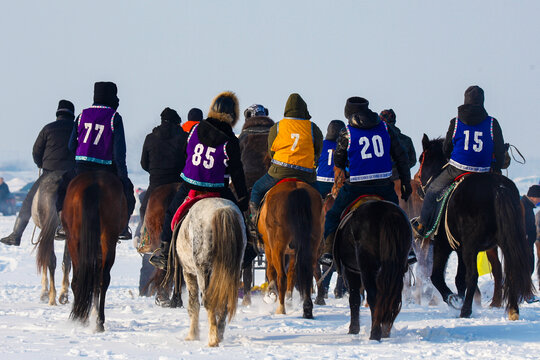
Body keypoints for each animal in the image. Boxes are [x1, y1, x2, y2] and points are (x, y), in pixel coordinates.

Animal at [62, 172, 127, 332]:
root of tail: (94, 184)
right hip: (107, 240)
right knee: (102, 278)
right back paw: (98, 322)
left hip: (74, 241)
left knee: (80, 278)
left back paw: (84, 318)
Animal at [175, 198, 247, 348]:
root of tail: (222, 209)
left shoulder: (188, 272)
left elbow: (193, 304)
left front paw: (192, 335)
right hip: (233, 271)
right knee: (224, 302)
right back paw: (219, 334)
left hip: (202, 270)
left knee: (208, 301)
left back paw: (213, 339)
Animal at [258, 180, 324, 318]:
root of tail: (296, 189)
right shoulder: (294, 253)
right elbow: (292, 275)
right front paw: (288, 300)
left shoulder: (269, 248)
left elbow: (271, 271)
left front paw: (271, 293)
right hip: (311, 245)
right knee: (308, 274)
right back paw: (307, 308)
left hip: (278, 247)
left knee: (281, 276)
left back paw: (281, 308)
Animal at [418, 134, 532, 318]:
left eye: (421, 158)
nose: (419, 188)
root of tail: (498, 188)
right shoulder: (460, 248)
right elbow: (459, 279)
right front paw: (458, 297)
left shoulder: (444, 244)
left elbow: (437, 276)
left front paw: (453, 300)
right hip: (506, 242)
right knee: (510, 272)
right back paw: (512, 310)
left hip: (470, 247)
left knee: (473, 275)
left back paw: (466, 310)